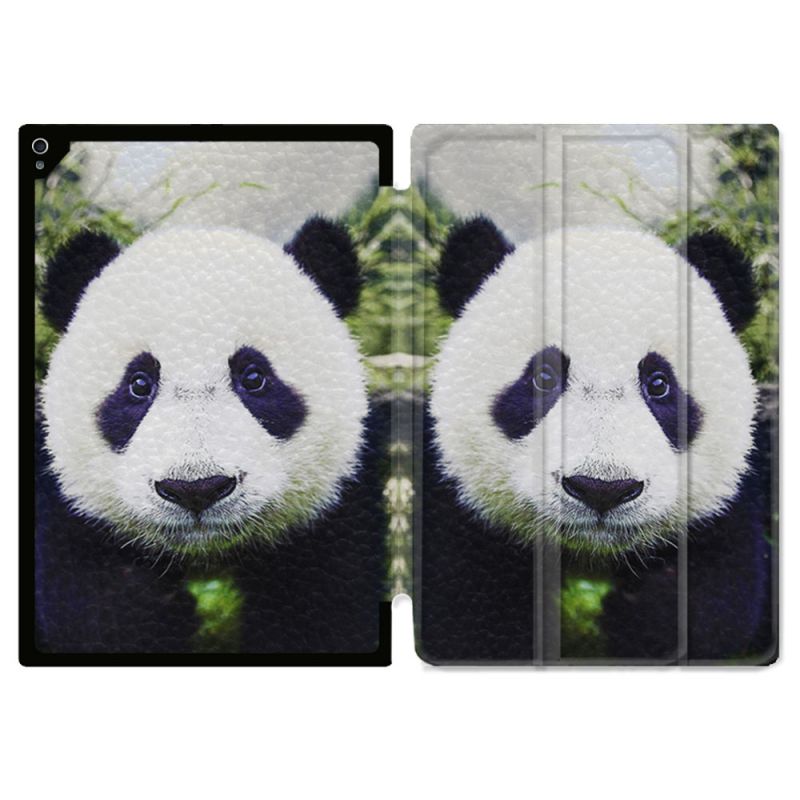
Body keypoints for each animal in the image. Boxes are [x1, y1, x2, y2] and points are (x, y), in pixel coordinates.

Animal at [35, 218, 387, 655]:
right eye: (139, 383)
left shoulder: (334, 515)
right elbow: (98, 614)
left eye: (254, 377)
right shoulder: (70, 520)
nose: (196, 489)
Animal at [418, 217, 775, 664]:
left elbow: (720, 603)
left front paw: (643, 614)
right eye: (544, 377)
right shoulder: (465, 505)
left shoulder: (724, 503)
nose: (602, 489)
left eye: (659, 383)